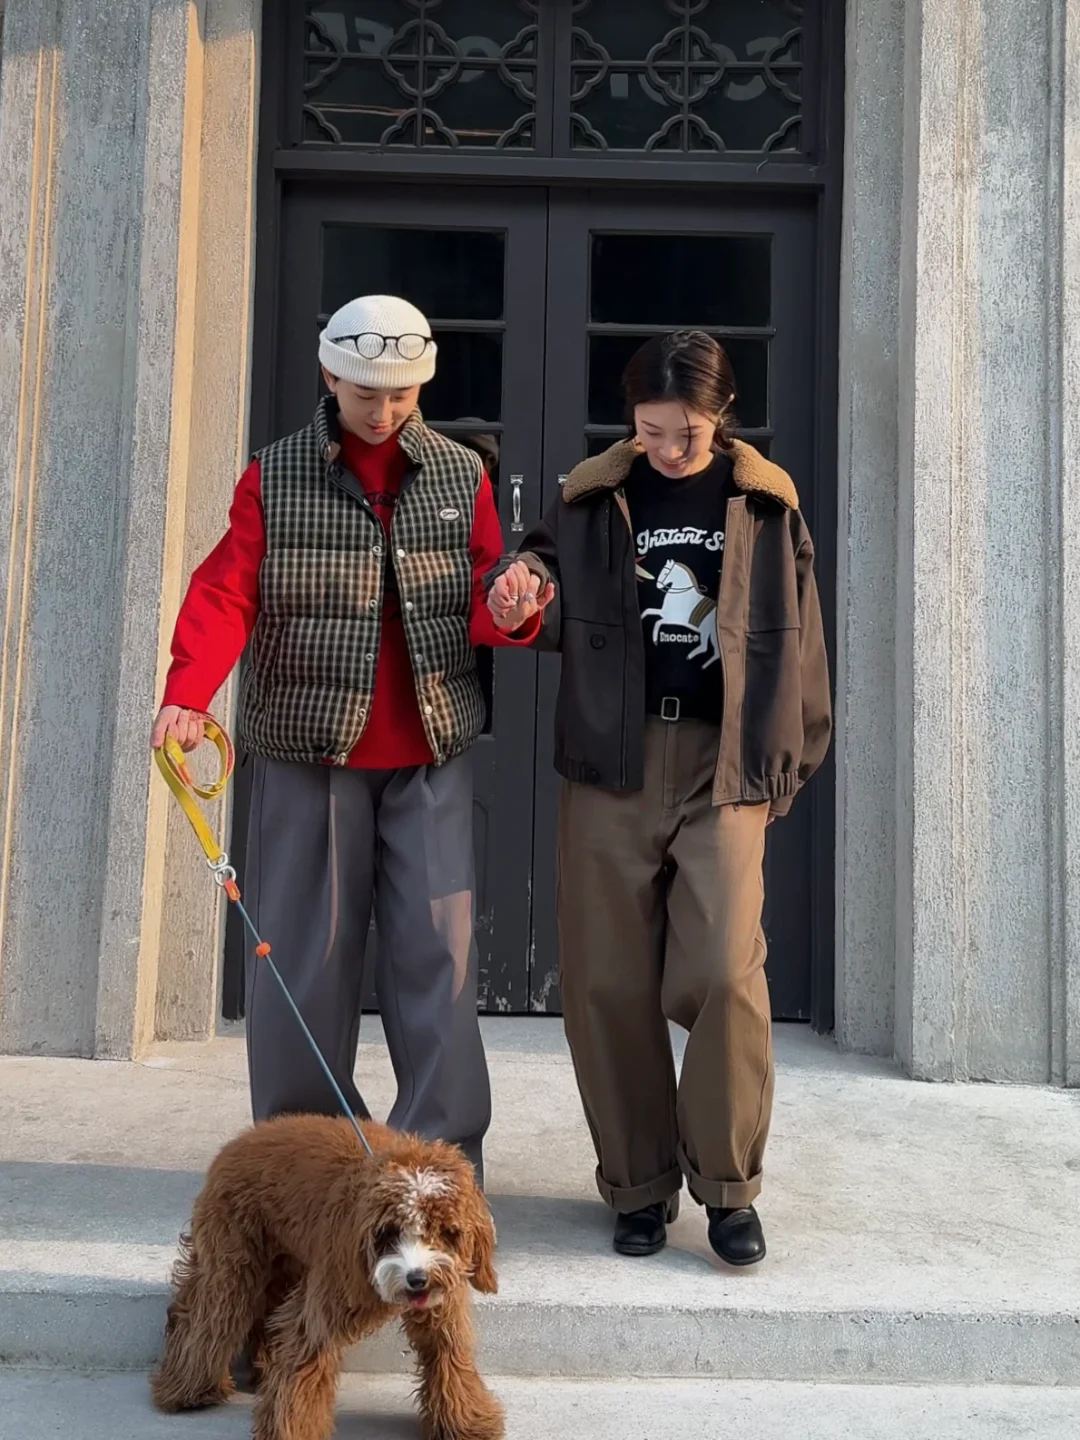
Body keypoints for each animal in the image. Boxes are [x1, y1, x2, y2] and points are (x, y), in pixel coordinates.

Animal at [151, 1114, 503, 1440]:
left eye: (447, 1232)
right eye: (389, 1232)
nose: (417, 1279)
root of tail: (236, 1143)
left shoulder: (443, 1310)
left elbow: (448, 1355)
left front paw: (467, 1424)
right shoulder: (325, 1303)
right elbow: (303, 1361)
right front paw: (291, 1430)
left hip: (283, 1265)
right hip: (233, 1264)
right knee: (208, 1321)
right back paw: (188, 1389)